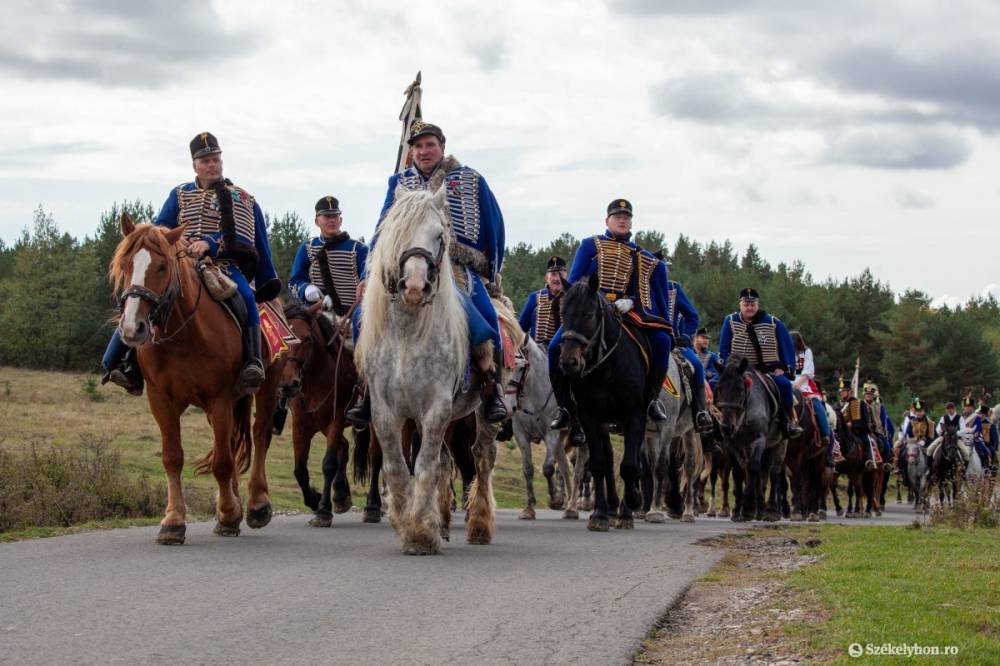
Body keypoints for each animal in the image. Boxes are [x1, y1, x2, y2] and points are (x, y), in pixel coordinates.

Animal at [112, 215, 276, 544]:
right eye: (125, 263)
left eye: (162, 266)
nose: (133, 328)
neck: (183, 335)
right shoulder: (160, 400)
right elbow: (173, 457)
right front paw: (174, 521)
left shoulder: (219, 398)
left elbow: (222, 462)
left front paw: (228, 512)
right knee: (231, 443)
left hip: (265, 389)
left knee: (260, 435)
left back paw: (256, 505)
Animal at [358, 185, 500, 548]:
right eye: (397, 232)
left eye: (439, 235)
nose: (413, 286)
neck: (408, 335)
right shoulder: (386, 411)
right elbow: (397, 466)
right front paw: (405, 521)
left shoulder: (436, 407)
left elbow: (424, 466)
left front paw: (421, 531)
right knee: (447, 460)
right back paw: (444, 521)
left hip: (480, 414)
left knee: (481, 458)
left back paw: (479, 525)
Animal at [556, 272, 648, 528]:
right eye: (563, 313)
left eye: (589, 314)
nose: (569, 362)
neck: (607, 368)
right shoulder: (590, 416)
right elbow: (598, 464)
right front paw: (599, 514)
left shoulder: (635, 414)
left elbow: (629, 464)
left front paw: (632, 503)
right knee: (608, 458)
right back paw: (611, 506)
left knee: (634, 458)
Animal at [716, 356, 792, 520]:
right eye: (718, 388)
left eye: (739, 389)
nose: (726, 427)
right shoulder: (732, 445)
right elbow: (739, 473)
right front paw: (738, 509)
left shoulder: (759, 440)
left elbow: (753, 468)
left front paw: (749, 508)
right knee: (758, 474)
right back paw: (760, 508)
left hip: (780, 444)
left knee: (773, 473)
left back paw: (771, 510)